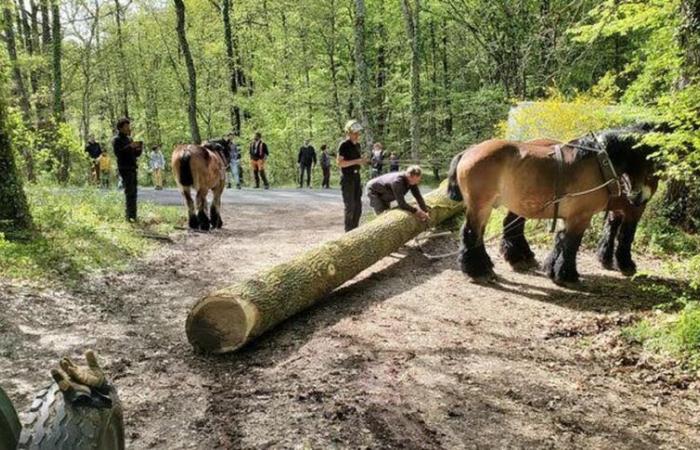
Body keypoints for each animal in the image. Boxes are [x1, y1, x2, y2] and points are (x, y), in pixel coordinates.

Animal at [452, 125, 660, 284]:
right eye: (653, 165)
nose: (638, 198)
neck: (599, 163)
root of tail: (469, 151)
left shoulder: (570, 216)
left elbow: (561, 241)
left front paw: (553, 269)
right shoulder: (581, 217)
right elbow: (572, 244)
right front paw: (568, 275)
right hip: (481, 206)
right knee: (471, 233)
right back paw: (478, 270)